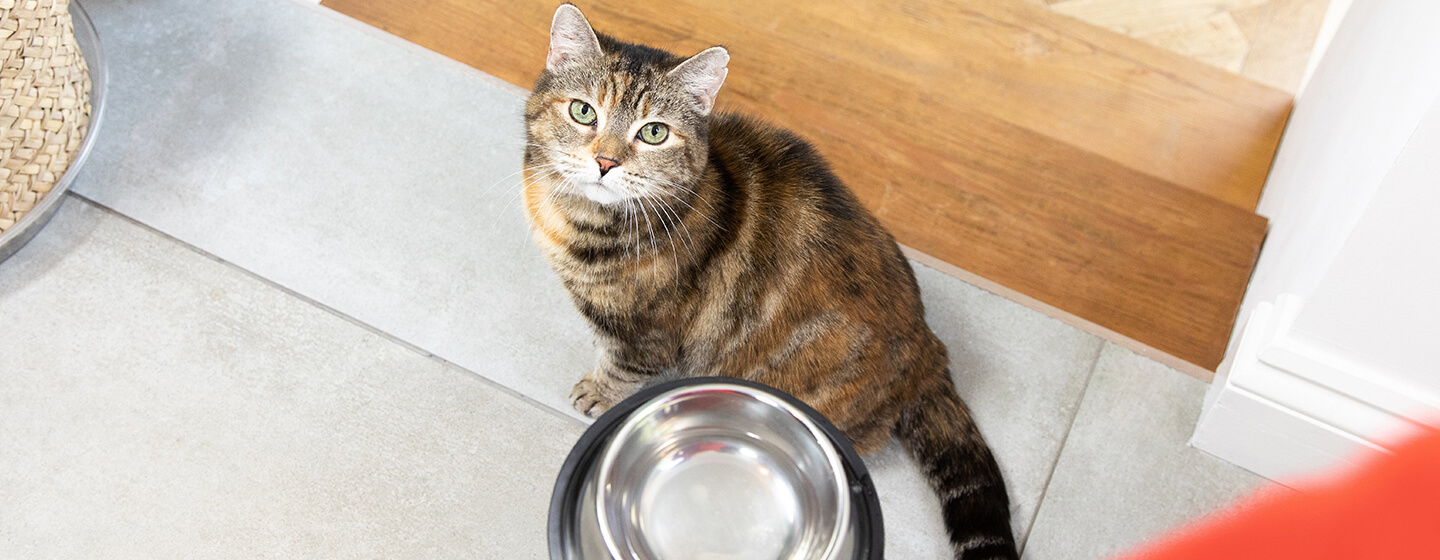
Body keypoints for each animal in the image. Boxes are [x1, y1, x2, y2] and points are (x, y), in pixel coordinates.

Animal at [524, 5, 1019, 558]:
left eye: (653, 133)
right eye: (583, 112)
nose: (606, 161)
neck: (578, 221)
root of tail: (930, 350)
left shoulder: (646, 334)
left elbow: (623, 365)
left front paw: (598, 391)